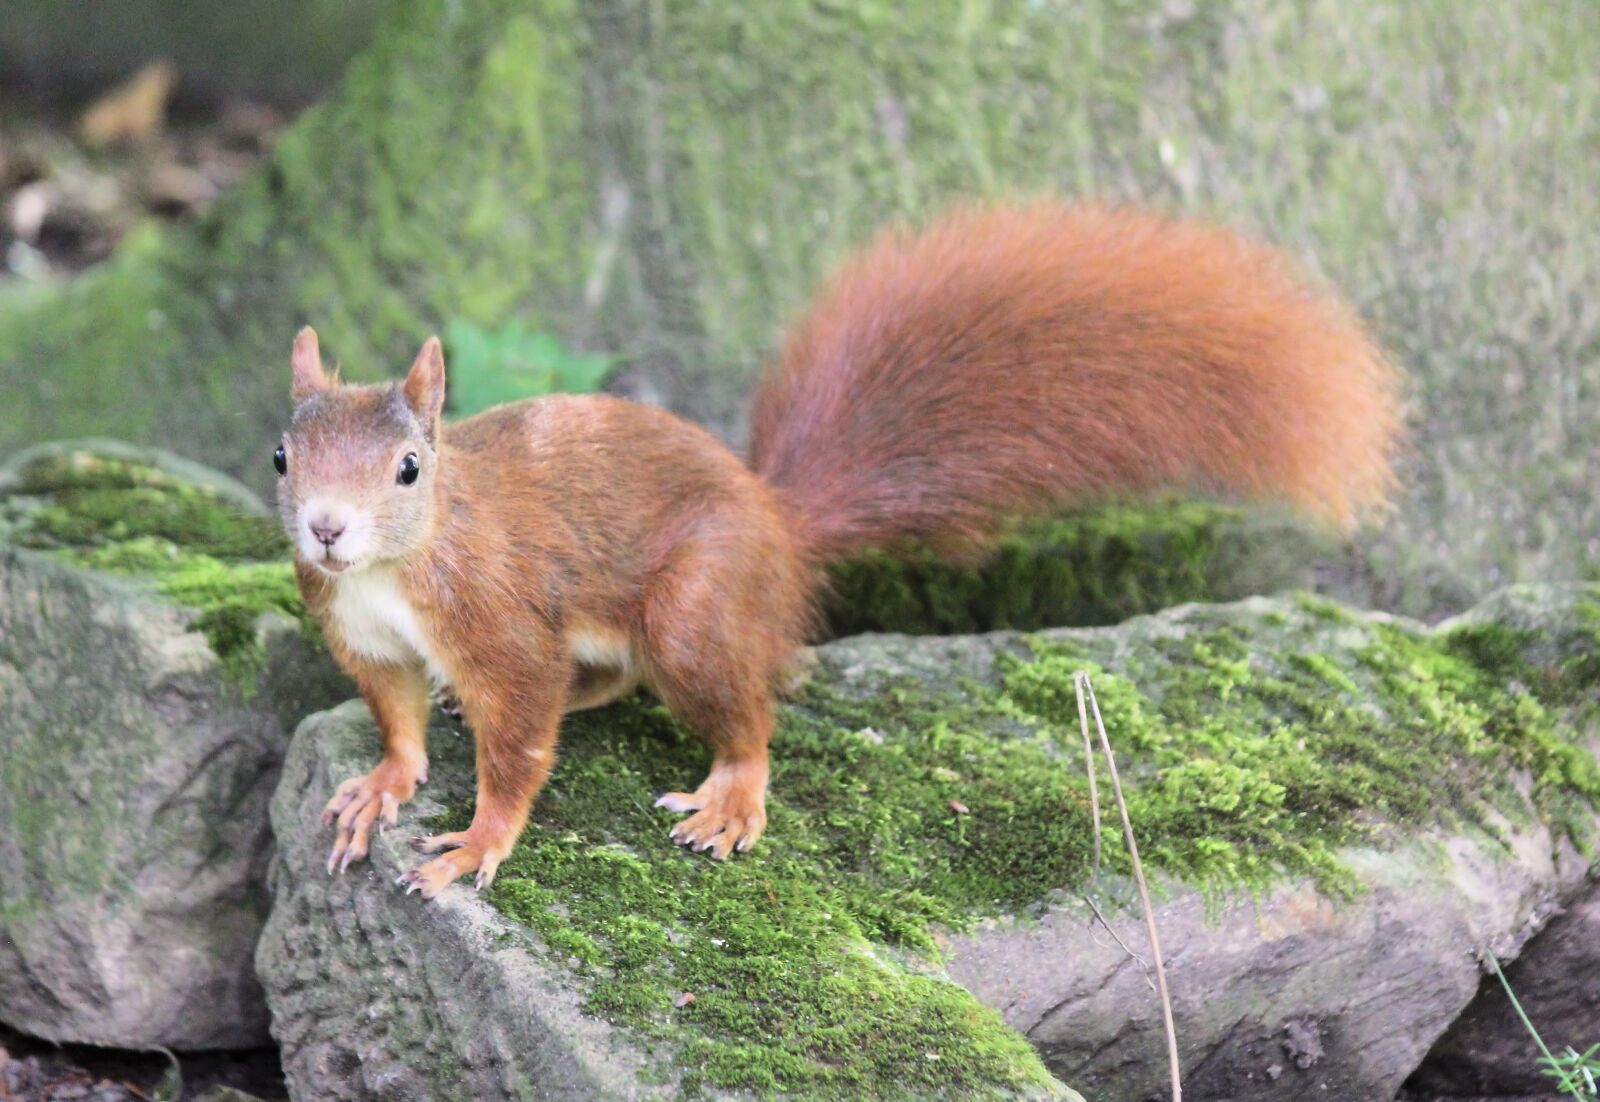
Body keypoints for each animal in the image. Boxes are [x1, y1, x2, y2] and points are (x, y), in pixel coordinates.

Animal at [275, 200, 1399, 898]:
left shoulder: (498, 619)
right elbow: (396, 716)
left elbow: (518, 746)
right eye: (282, 453)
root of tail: (775, 524)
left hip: (694, 607)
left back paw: (730, 795)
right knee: (606, 677)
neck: (390, 572)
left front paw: (474, 841)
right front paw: (383, 783)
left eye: (410, 468)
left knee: (739, 711)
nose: (326, 528)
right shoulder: (361, 635)